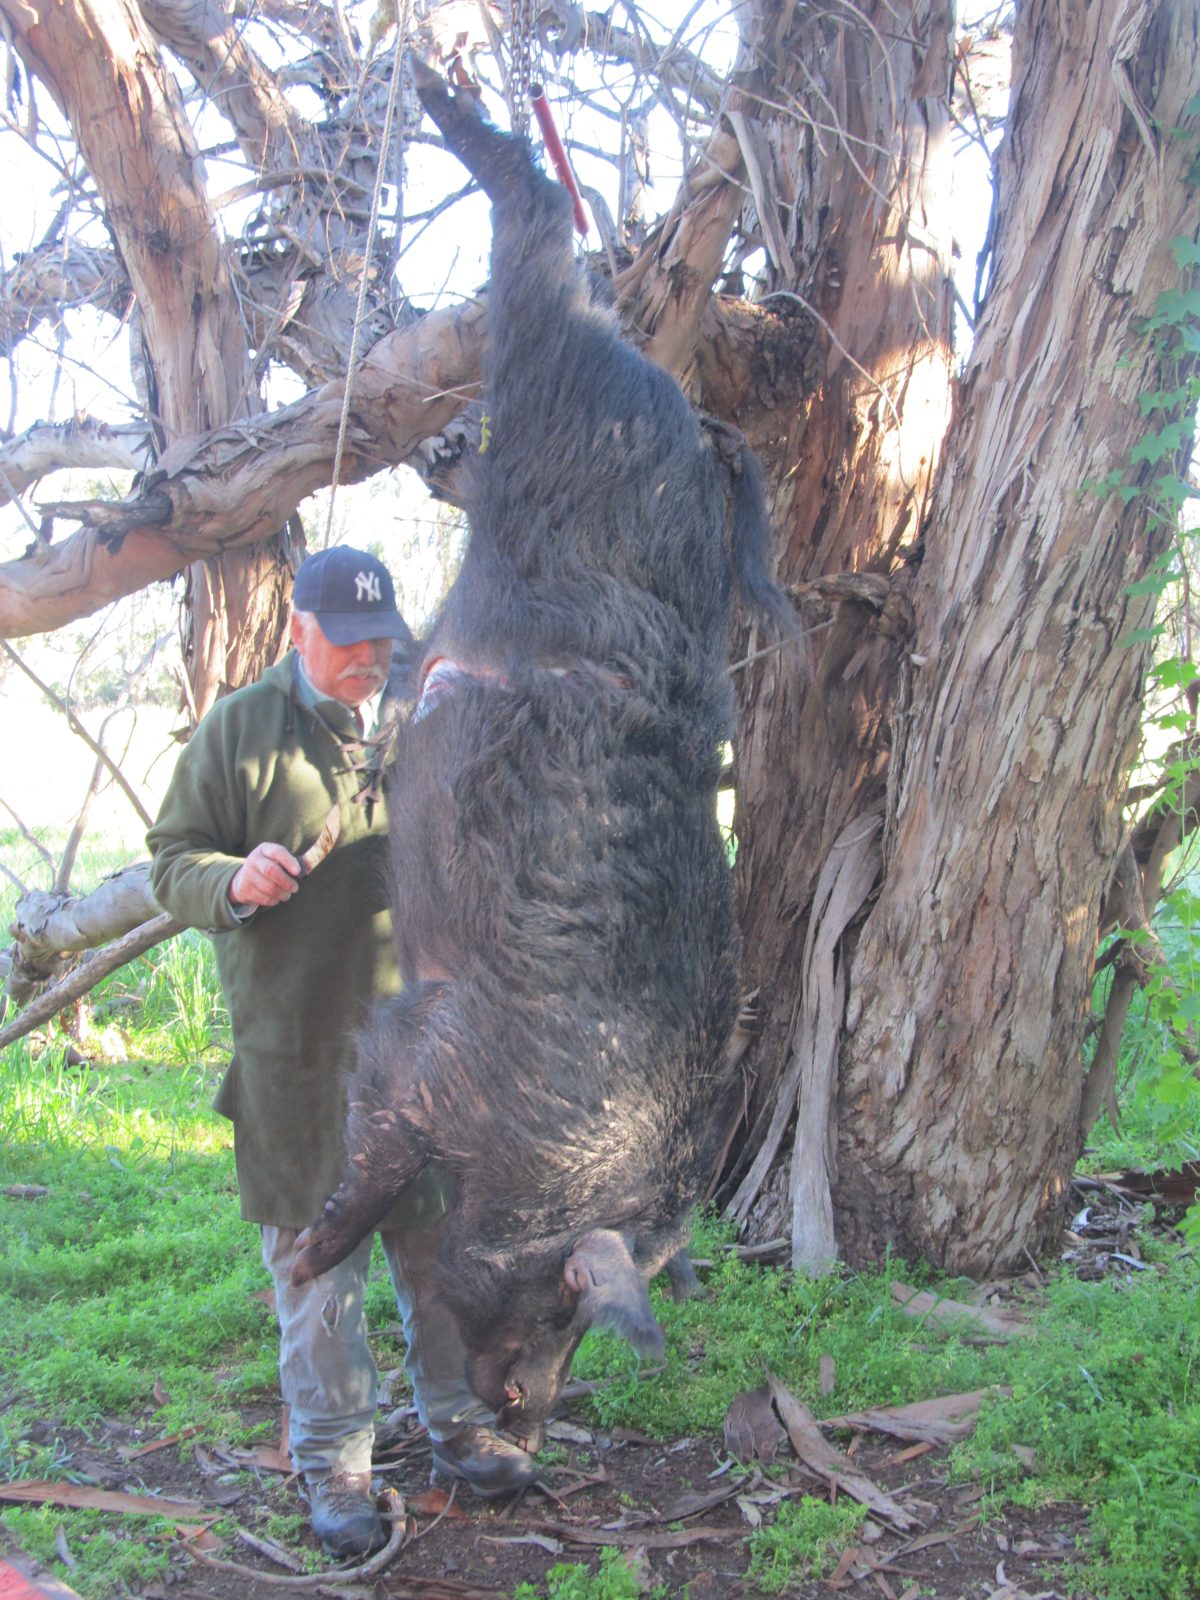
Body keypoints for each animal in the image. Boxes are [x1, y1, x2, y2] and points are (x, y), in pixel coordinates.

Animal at [292, 59, 794, 1439]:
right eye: (566, 1298)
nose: (522, 1433)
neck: (561, 1147)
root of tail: (670, 393)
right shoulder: (425, 1068)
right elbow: (366, 1161)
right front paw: (301, 1255)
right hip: (540, 367)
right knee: (530, 222)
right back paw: (443, 92)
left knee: (532, 216)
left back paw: (443, 91)